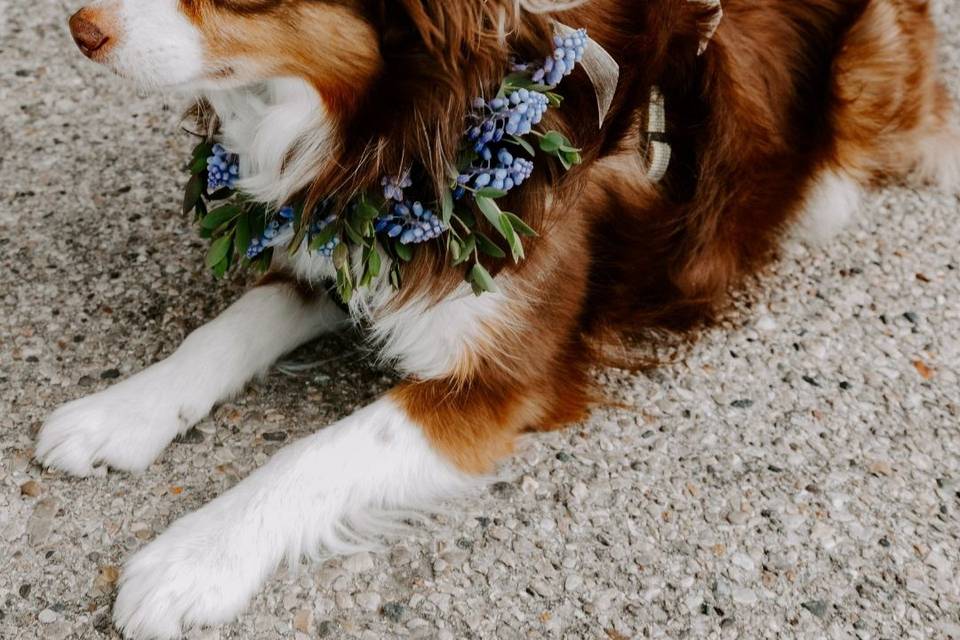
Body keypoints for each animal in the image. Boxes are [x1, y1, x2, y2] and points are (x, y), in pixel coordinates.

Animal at [41, 0, 956, 636]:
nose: (79, 28)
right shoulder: (343, 244)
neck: (406, 125)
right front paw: (115, 414)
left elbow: (313, 455)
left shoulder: (500, 383)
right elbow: (224, 330)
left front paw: (193, 558)